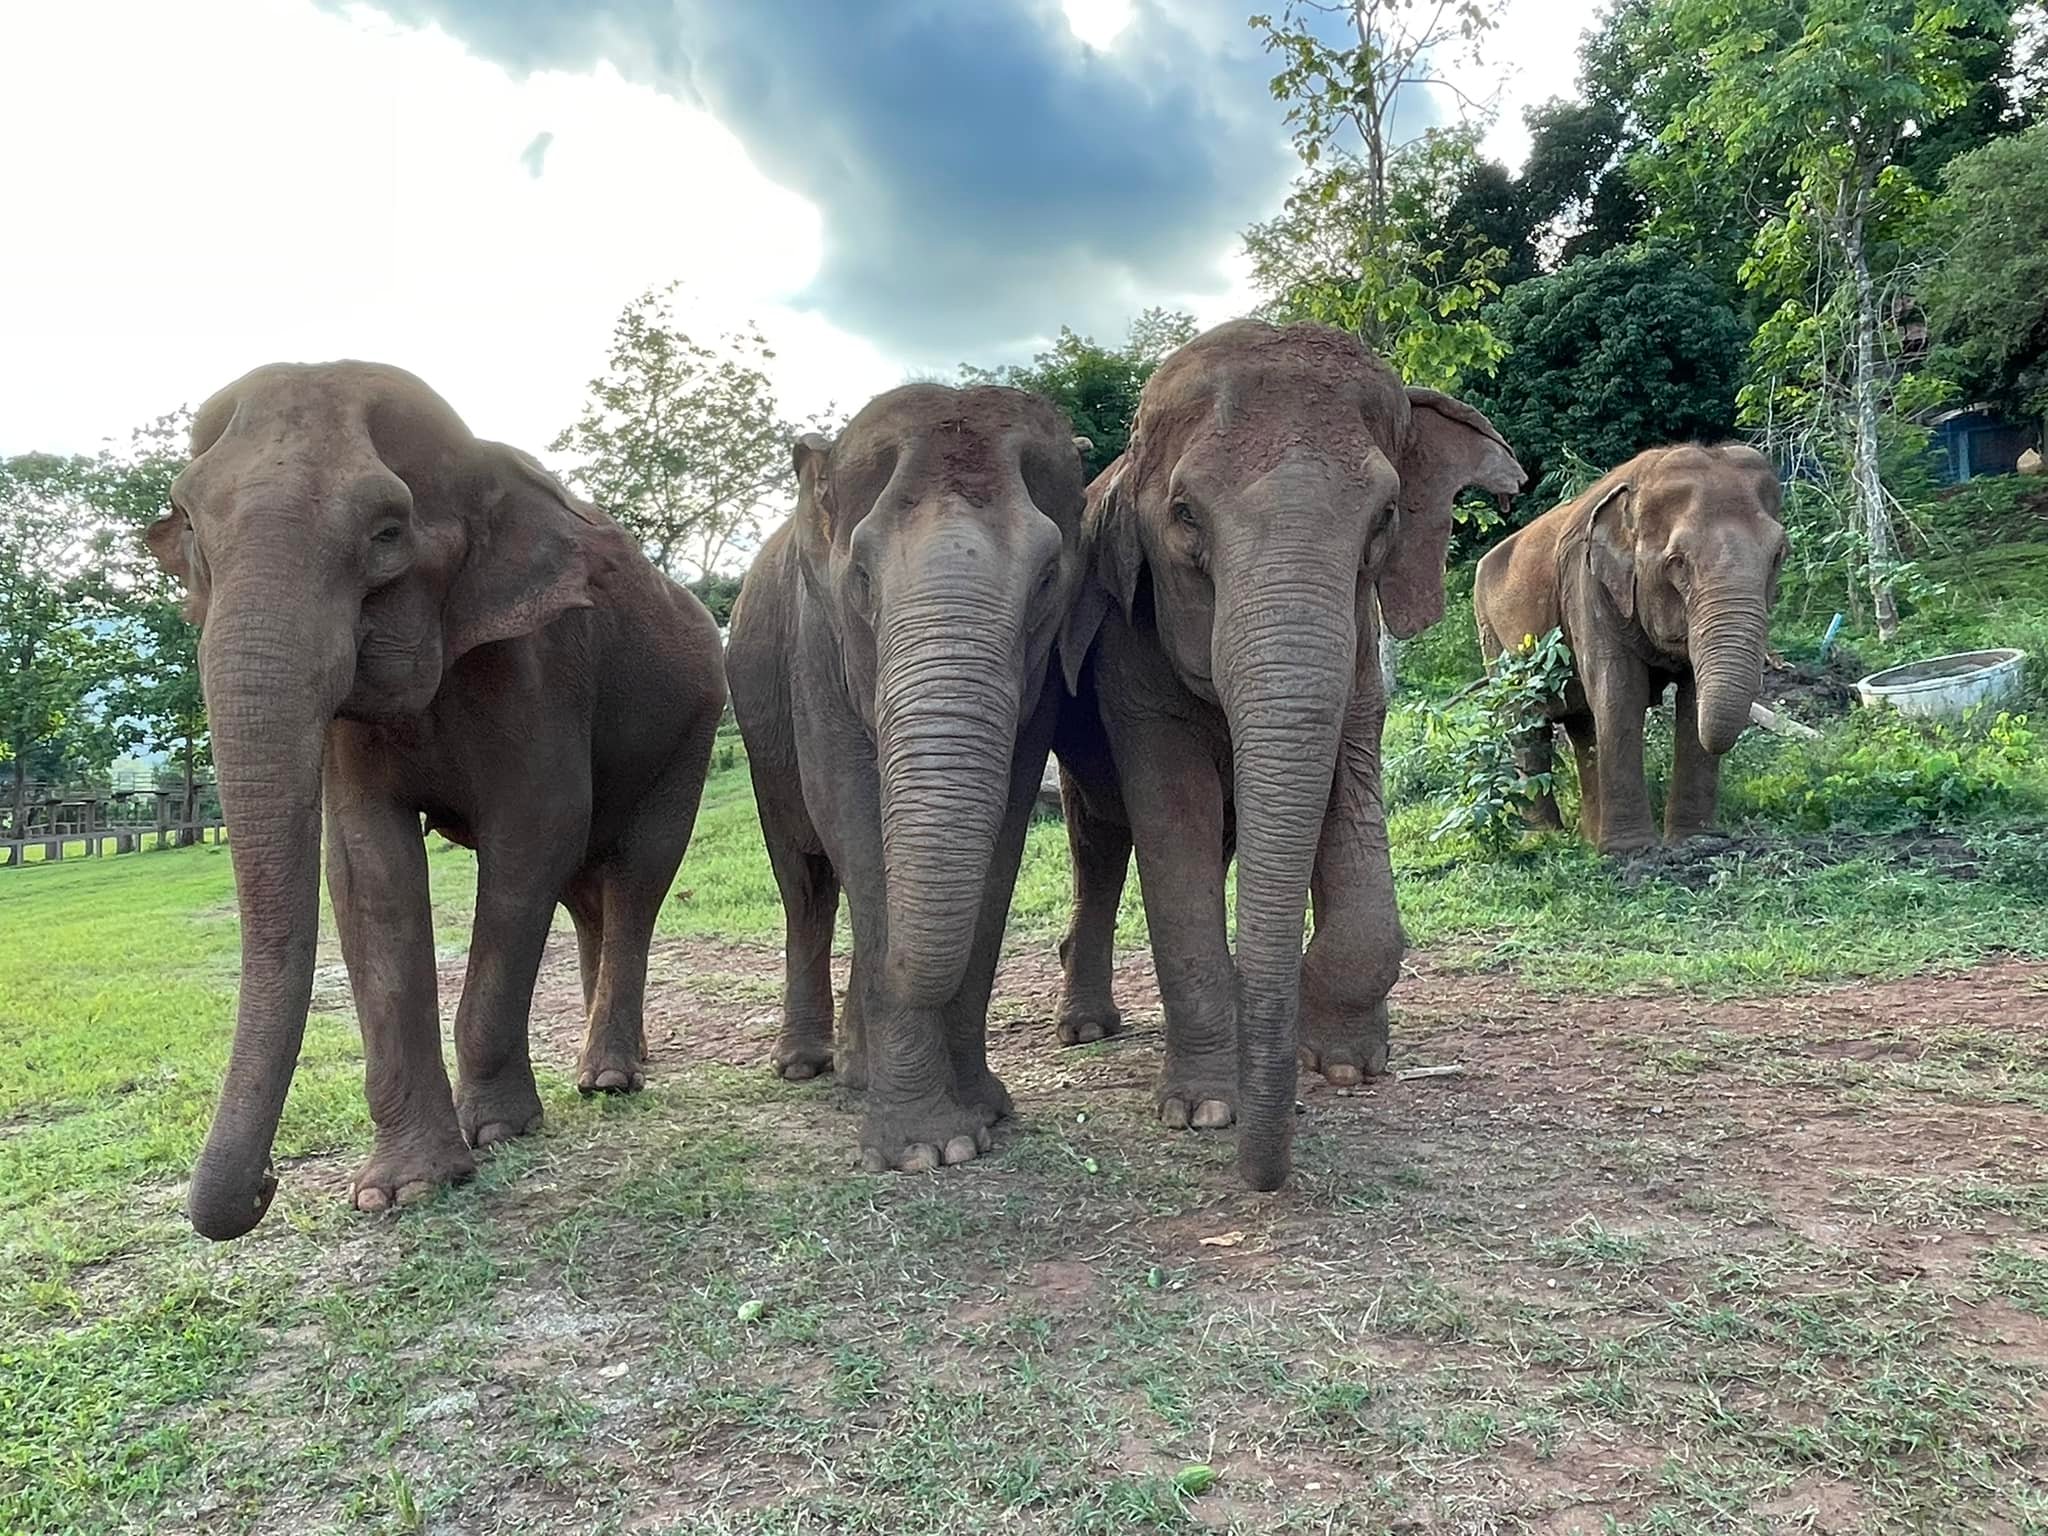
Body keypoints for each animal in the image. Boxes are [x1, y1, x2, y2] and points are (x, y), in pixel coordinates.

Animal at [151, 366, 729, 1245]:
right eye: (187, 522)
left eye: (387, 532)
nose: (265, 1184)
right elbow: (367, 868)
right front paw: (405, 1189)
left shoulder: (537, 662)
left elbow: (534, 835)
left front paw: (498, 1131)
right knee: (587, 890)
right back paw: (610, 1060)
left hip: (693, 722)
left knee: (636, 874)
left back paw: (608, 1077)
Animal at [729, 387, 1097, 1179]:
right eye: (862, 578)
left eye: (1048, 578)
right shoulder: (815, 649)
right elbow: (852, 822)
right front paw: (927, 1150)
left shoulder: (1040, 687)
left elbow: (1004, 831)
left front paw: (982, 1114)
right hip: (756, 728)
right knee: (805, 879)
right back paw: (808, 1065)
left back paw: (855, 1069)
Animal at [1056, 321, 1523, 1187]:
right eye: (1184, 515)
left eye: (1386, 516)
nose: (1267, 1177)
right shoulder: (1129, 661)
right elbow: (1174, 818)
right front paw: (1206, 1110)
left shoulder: (1360, 654)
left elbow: (1350, 778)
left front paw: (1343, 1062)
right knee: (1097, 837)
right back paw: (1087, 1029)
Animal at [1474, 442, 1794, 856]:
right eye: (1677, 562)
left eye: (1778, 555)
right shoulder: (1586, 583)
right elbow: (1620, 692)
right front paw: (1630, 851)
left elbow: (1692, 698)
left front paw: (1695, 841)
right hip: (1492, 638)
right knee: (1526, 725)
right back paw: (1545, 840)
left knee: (1581, 726)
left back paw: (1588, 837)